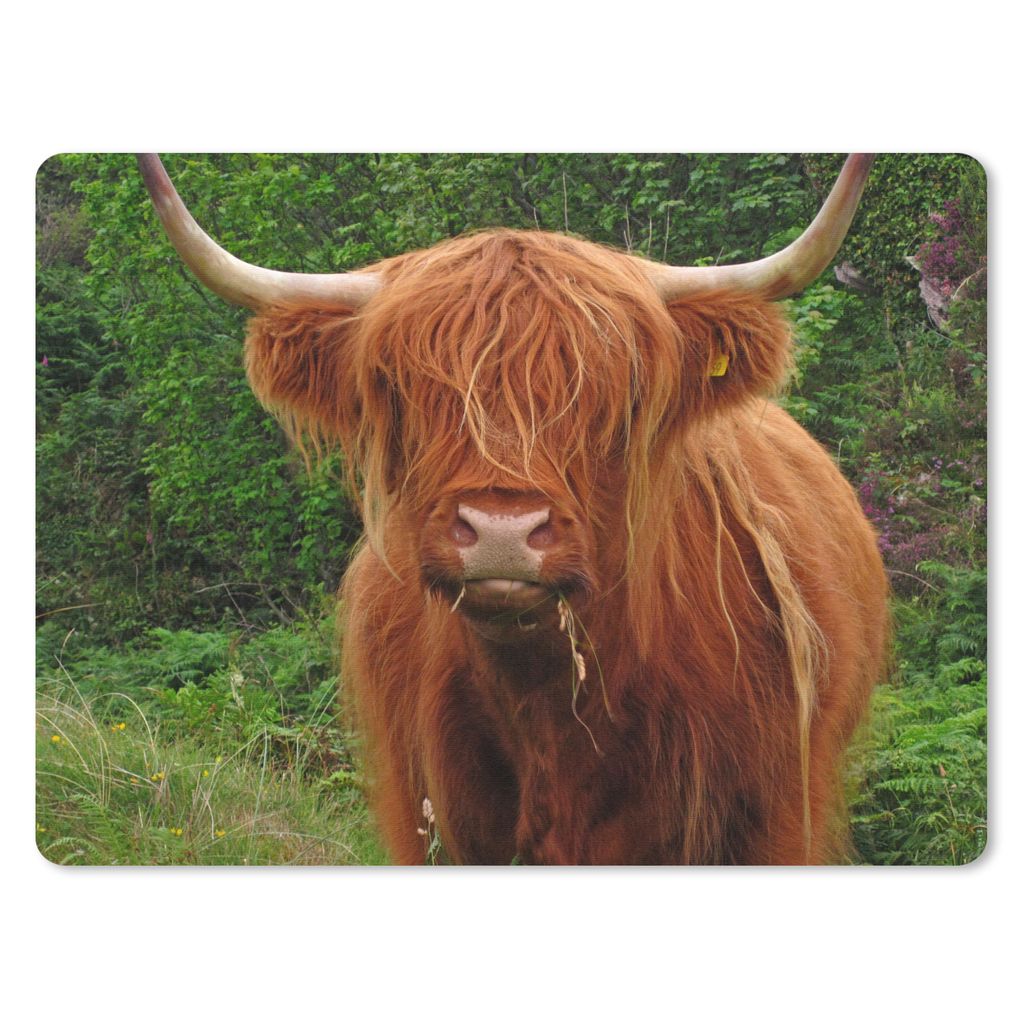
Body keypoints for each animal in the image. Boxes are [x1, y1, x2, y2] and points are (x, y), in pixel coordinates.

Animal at [139, 154, 888, 865]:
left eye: (619, 394)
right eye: (400, 388)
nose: (502, 531)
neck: (547, 708)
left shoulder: (776, 814)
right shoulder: (430, 820)